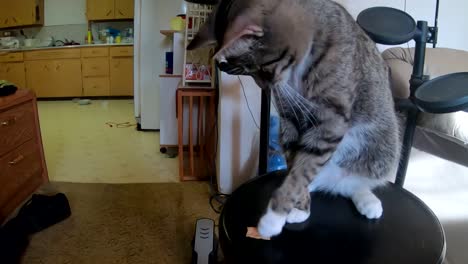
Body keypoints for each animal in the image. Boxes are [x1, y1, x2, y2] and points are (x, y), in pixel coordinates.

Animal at [188, 0, 400, 238]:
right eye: (248, 73)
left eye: (260, 69)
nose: (265, 86)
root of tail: (334, 182)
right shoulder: (291, 119)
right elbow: (297, 168)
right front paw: (297, 208)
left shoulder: (330, 121)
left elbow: (301, 172)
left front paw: (272, 219)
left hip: (380, 153)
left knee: (355, 182)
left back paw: (366, 200)